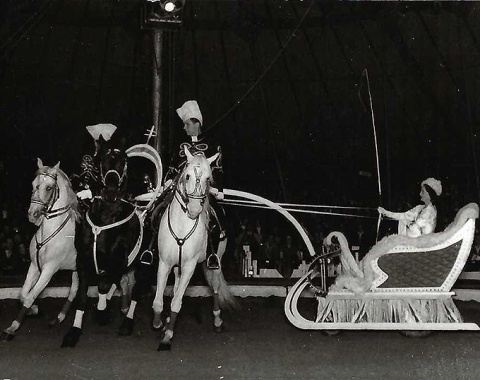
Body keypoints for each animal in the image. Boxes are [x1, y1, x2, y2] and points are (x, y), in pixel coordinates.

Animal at [1, 159, 79, 340]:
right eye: (33, 185)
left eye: (49, 188)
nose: (33, 214)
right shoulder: (35, 265)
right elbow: (23, 294)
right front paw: (34, 310)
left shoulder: (49, 270)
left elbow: (30, 296)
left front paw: (12, 328)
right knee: (74, 290)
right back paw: (58, 318)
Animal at [61, 142, 142, 348]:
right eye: (102, 162)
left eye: (124, 162)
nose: (110, 192)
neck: (105, 219)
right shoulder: (83, 259)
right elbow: (82, 296)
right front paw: (73, 332)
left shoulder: (119, 259)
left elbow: (105, 284)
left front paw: (102, 312)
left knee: (137, 290)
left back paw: (126, 323)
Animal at [152, 147, 236, 352]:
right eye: (187, 175)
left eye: (208, 178)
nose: (194, 209)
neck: (183, 224)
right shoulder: (165, 263)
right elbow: (158, 301)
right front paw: (159, 323)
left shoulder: (190, 266)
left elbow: (176, 302)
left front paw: (167, 337)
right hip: (177, 266)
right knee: (176, 287)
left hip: (215, 261)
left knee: (215, 287)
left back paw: (217, 321)